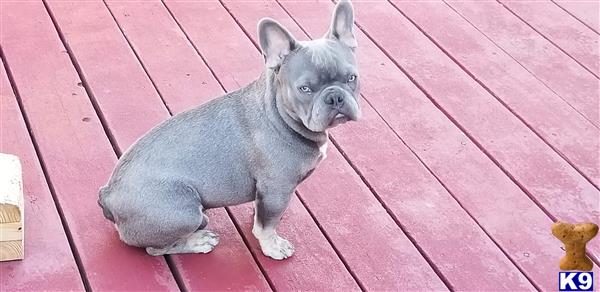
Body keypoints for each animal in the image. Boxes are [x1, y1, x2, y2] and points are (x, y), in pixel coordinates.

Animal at [99, 0, 360, 260]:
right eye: (305, 89)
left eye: (352, 78)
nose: (335, 97)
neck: (280, 114)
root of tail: (108, 194)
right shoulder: (277, 187)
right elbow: (267, 227)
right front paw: (273, 246)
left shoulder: (268, 192)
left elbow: (262, 212)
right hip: (185, 212)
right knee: (156, 248)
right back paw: (198, 241)